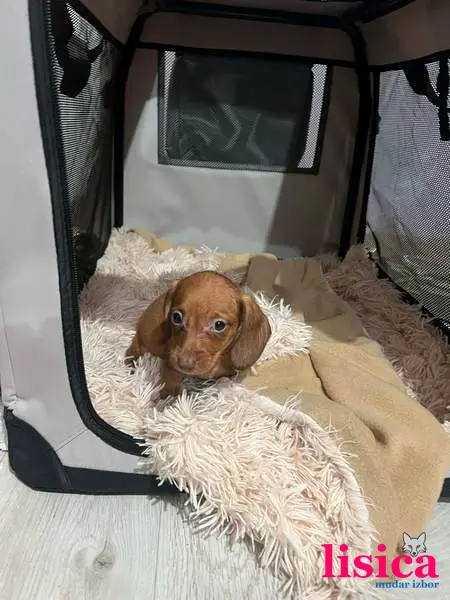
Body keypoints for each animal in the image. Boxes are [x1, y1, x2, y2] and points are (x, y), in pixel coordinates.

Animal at [125, 271, 271, 398]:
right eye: (176, 317)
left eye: (219, 325)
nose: (184, 364)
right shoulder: (171, 360)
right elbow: (171, 376)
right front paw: (167, 397)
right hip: (151, 339)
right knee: (135, 346)